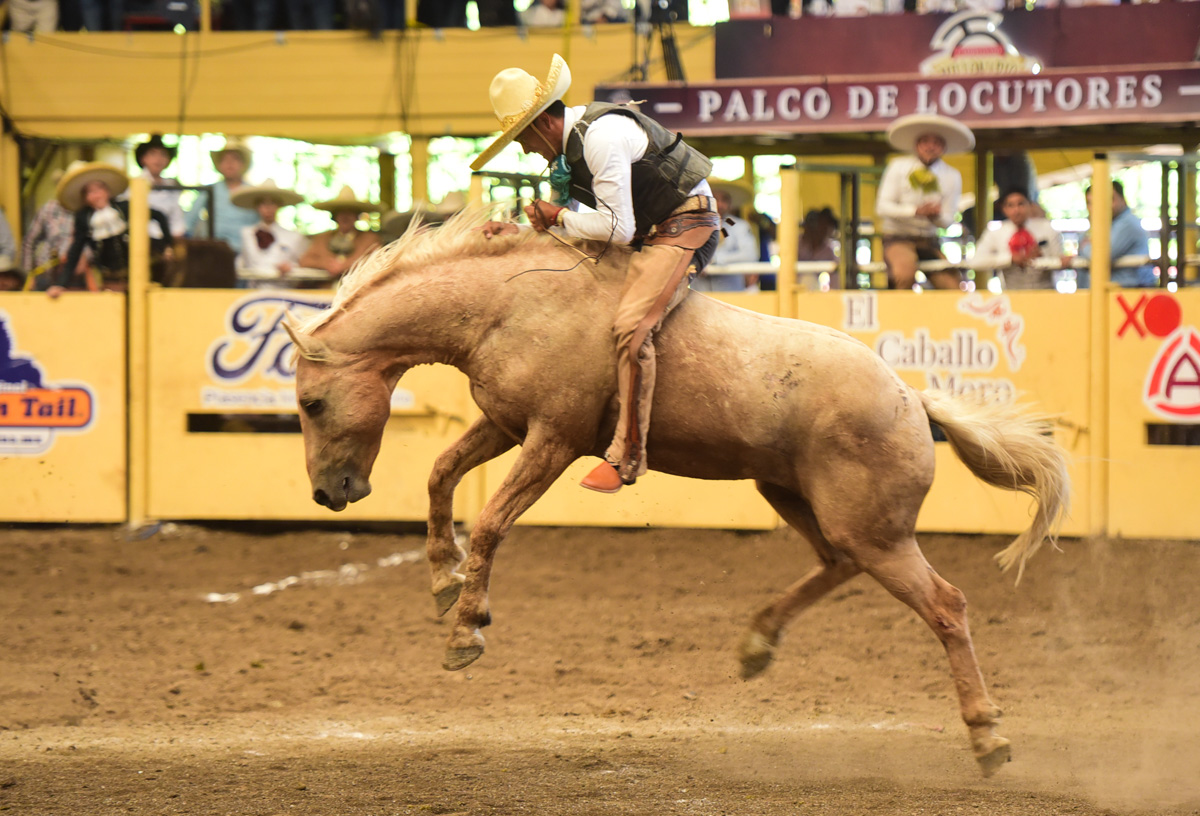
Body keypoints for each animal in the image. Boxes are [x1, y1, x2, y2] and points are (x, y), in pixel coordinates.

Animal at [288, 205, 1070, 777]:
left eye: (311, 404)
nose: (329, 492)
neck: (510, 303)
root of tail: (912, 398)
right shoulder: (505, 423)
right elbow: (440, 476)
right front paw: (442, 582)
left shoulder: (553, 438)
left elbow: (490, 522)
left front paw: (465, 628)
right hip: (797, 499)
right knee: (835, 564)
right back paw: (756, 644)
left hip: (877, 531)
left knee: (946, 605)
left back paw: (988, 739)